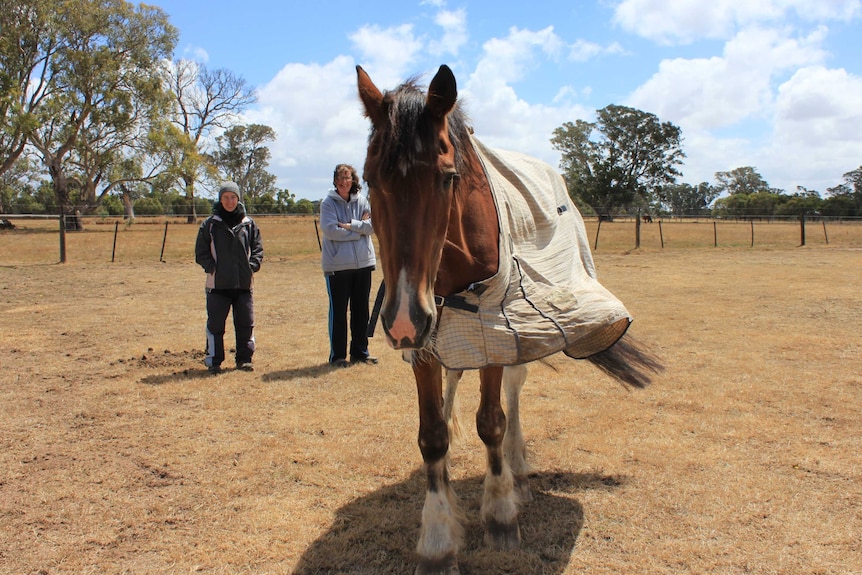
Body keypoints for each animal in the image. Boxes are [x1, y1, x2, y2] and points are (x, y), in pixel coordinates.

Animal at [358, 64, 660, 575]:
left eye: (447, 177)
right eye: (366, 179)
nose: (401, 320)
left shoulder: (496, 331)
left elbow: (492, 422)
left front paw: (500, 513)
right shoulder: (428, 337)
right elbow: (432, 435)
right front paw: (438, 539)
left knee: (515, 393)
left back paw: (517, 474)